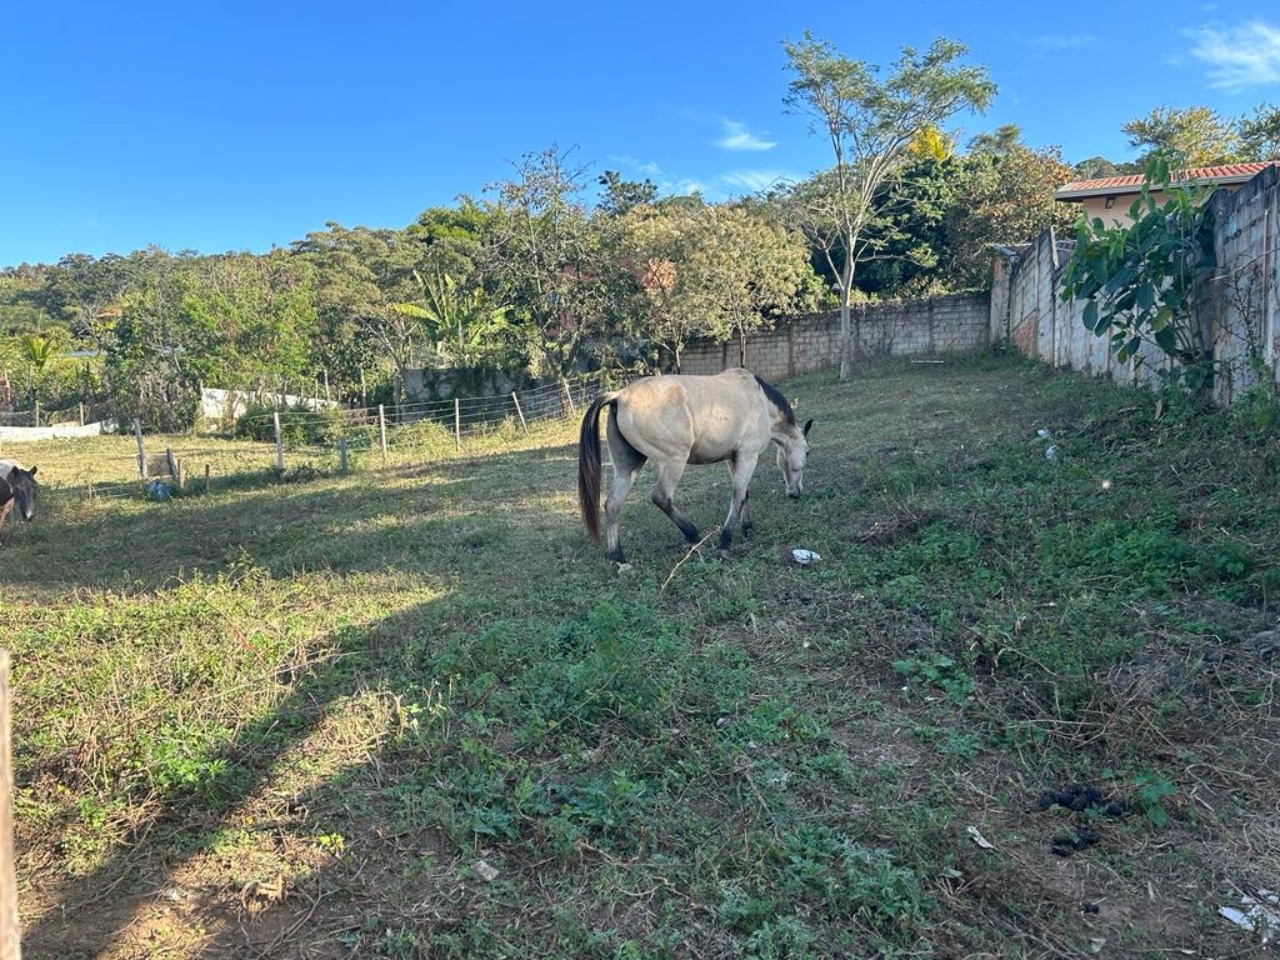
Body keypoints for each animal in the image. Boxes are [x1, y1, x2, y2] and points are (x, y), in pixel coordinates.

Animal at [578, 366, 808, 563]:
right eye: (807, 452)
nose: (796, 493)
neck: (759, 399)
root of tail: (620, 396)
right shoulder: (748, 457)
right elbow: (738, 497)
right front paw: (725, 543)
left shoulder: (734, 458)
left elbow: (744, 494)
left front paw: (747, 528)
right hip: (674, 462)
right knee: (661, 498)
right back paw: (693, 536)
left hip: (628, 467)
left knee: (612, 505)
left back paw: (618, 557)